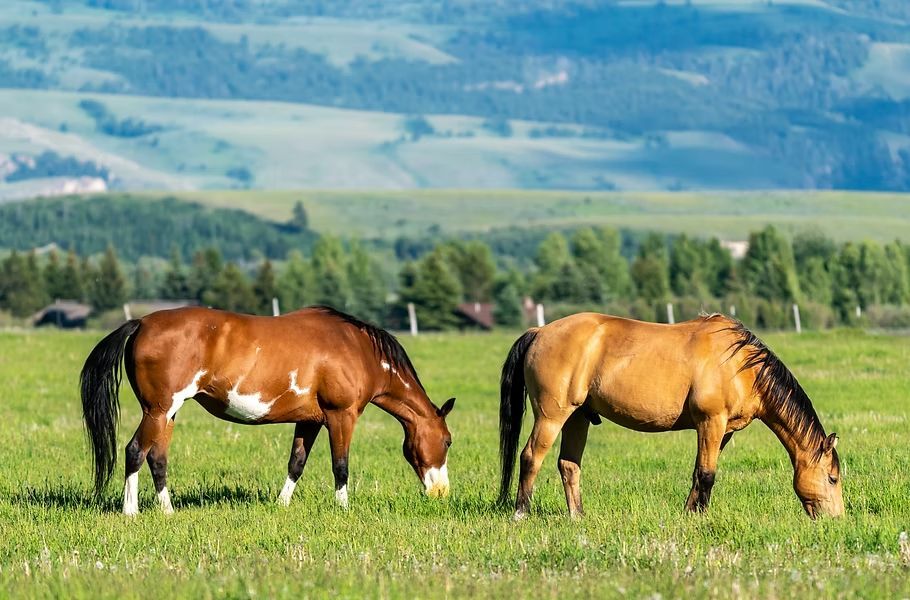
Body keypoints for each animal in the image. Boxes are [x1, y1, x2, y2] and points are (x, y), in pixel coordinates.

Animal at [80, 306, 455, 515]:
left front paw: (281, 505)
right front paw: (343, 508)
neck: (359, 349)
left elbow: (296, 463)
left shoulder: (309, 421)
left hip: (167, 414)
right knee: (134, 451)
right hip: (158, 410)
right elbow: (341, 466)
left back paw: (168, 511)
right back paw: (131, 511)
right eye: (448, 441)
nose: (441, 493)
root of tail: (141, 323)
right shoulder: (341, 415)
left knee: (157, 458)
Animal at [499, 312, 844, 520]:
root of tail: (539, 331)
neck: (741, 367)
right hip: (552, 415)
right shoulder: (710, 421)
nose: (836, 519)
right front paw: (700, 516)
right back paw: (521, 512)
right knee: (530, 456)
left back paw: (578, 516)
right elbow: (707, 474)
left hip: (578, 417)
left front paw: (690, 513)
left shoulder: (723, 431)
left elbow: (699, 472)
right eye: (832, 477)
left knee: (568, 465)